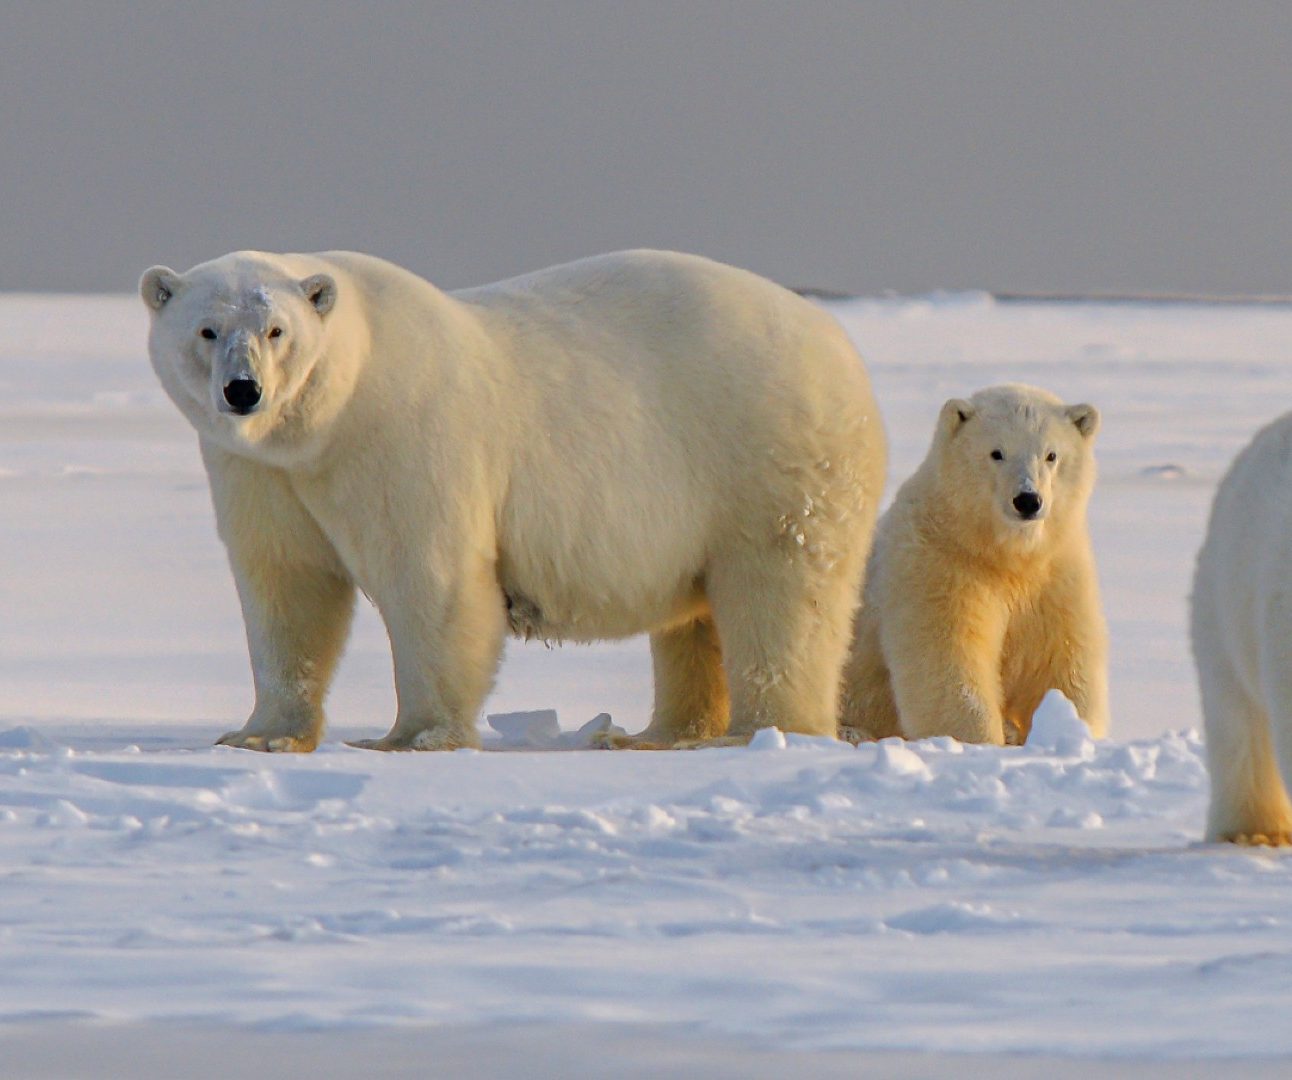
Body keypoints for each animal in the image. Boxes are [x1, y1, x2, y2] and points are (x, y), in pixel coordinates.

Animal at [141, 246, 888, 749]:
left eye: (277, 331)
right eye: (206, 330)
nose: (244, 391)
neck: (329, 418)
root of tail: (838, 343)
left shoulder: (404, 436)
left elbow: (430, 580)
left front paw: (412, 737)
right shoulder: (260, 471)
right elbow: (286, 586)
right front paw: (260, 735)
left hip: (766, 456)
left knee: (780, 596)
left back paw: (764, 731)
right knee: (694, 618)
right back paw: (658, 733)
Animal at [842, 384, 1105, 749]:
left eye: (1051, 455)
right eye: (996, 452)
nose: (1027, 500)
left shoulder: (1055, 573)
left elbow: (1059, 660)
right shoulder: (938, 566)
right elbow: (949, 660)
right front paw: (979, 741)